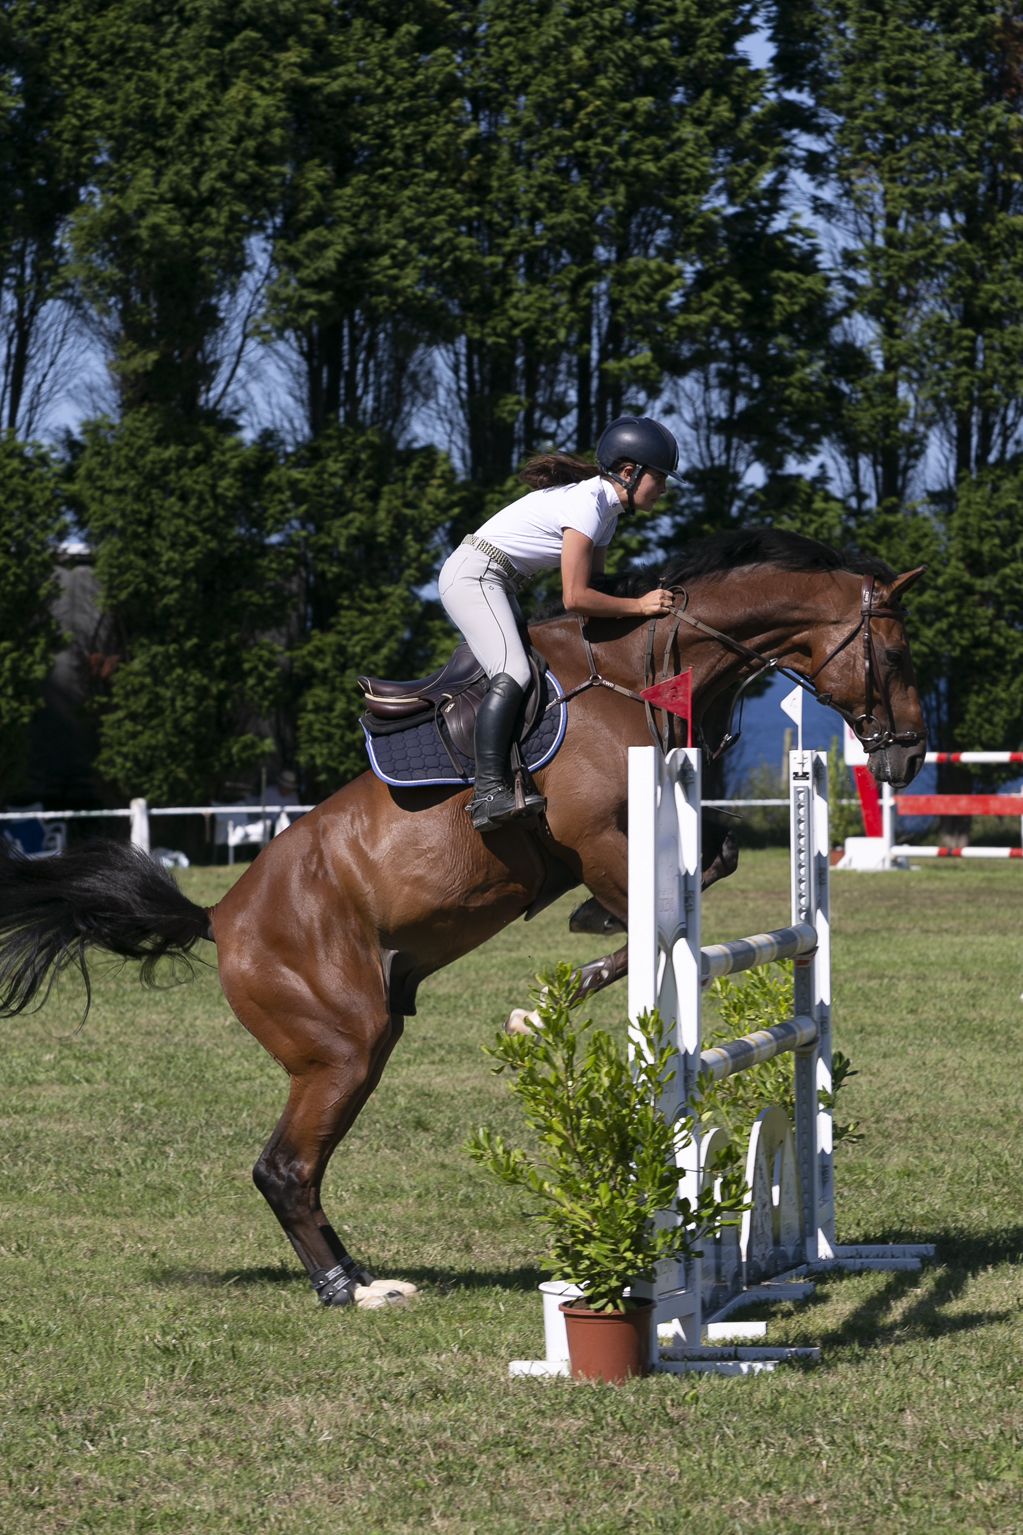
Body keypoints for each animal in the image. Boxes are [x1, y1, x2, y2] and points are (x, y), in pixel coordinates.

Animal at [0, 528, 927, 1307]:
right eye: (895, 649)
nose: (910, 754)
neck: (637, 669)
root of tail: (220, 915)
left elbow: (713, 861)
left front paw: (565, 977)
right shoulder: (594, 837)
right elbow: (647, 918)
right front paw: (556, 989)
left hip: (358, 1042)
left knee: (295, 1166)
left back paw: (357, 1276)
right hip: (342, 1044)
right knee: (284, 1167)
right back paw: (350, 1289)